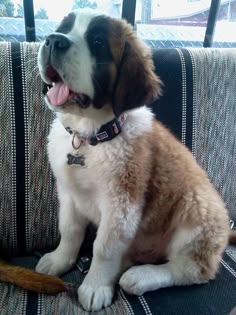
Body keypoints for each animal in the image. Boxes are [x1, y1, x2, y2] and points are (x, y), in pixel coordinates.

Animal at [33, 9, 234, 314]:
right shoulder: (68, 193)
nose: (54, 40)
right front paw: (59, 260)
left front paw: (95, 286)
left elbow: (103, 247)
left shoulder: (122, 204)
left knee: (193, 268)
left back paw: (141, 276)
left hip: (197, 207)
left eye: (97, 43)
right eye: (64, 29)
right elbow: (69, 229)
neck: (92, 136)